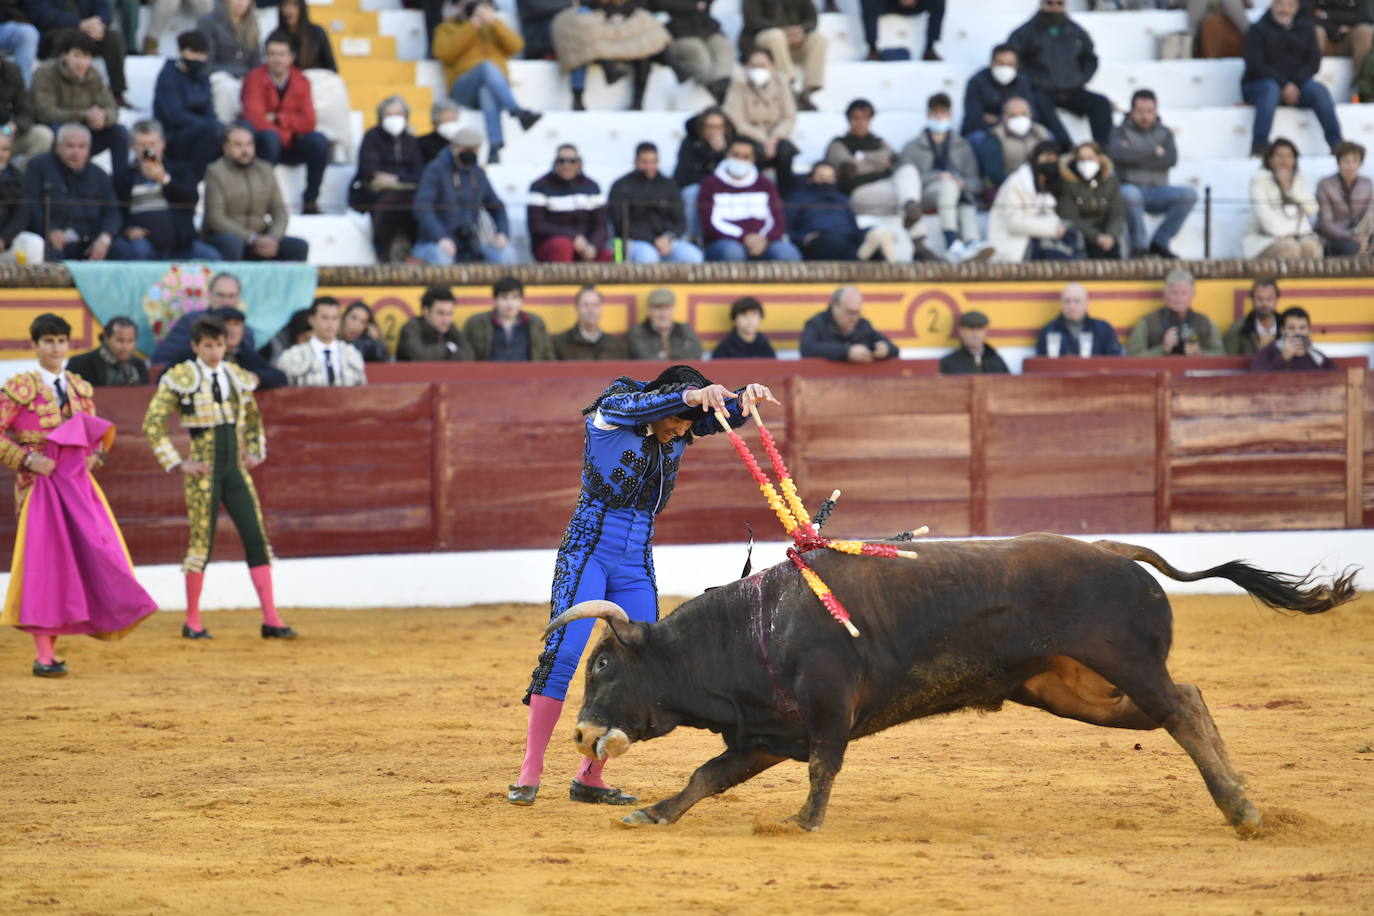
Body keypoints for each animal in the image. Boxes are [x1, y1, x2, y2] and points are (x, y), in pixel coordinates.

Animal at [541, 530, 1357, 840]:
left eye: (603, 665)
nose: (580, 732)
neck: (754, 629)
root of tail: (1114, 550)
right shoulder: (768, 731)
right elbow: (708, 775)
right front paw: (652, 811)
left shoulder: (827, 711)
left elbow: (822, 768)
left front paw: (803, 824)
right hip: (1076, 692)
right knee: (1187, 705)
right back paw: (1240, 803)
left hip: (1127, 664)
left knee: (1181, 708)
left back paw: (1242, 807)